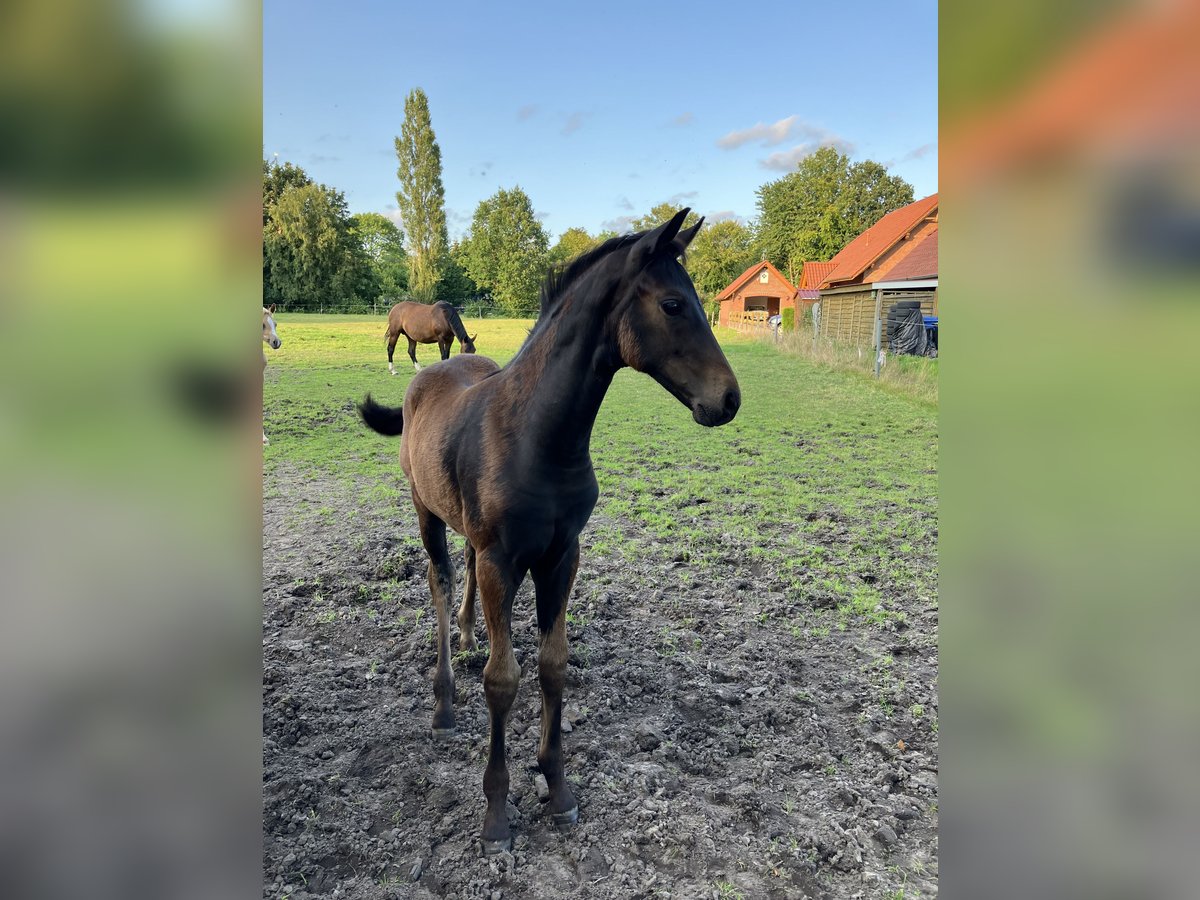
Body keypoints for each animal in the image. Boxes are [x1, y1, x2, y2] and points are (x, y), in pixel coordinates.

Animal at [357, 207, 739, 854]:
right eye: (671, 304)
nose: (729, 399)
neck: (539, 437)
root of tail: (435, 369)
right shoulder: (502, 560)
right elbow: (503, 679)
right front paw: (496, 814)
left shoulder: (562, 556)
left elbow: (553, 665)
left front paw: (557, 788)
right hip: (425, 510)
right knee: (439, 580)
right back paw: (443, 704)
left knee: (460, 572)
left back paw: (468, 634)